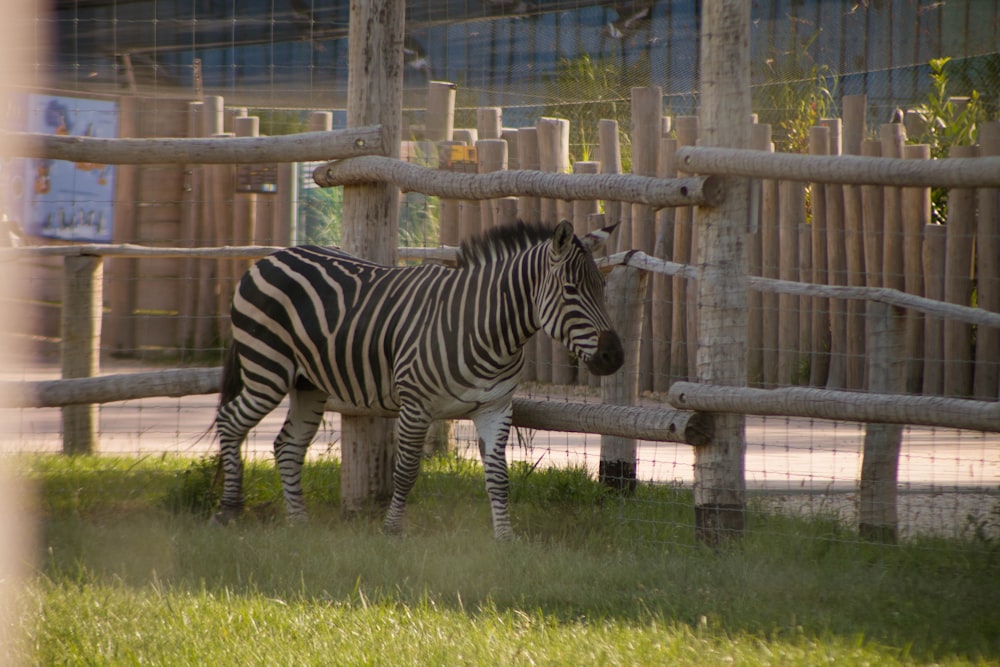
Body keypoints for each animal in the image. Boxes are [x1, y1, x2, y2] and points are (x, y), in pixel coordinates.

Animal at [214, 222, 620, 540]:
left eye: (603, 288)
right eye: (571, 290)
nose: (614, 356)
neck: (486, 328)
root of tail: (271, 258)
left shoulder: (495, 407)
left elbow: (498, 476)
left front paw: (505, 537)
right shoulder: (415, 405)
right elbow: (406, 471)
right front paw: (392, 530)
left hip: (307, 384)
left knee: (287, 445)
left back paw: (299, 523)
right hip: (267, 370)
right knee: (230, 422)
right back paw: (230, 510)